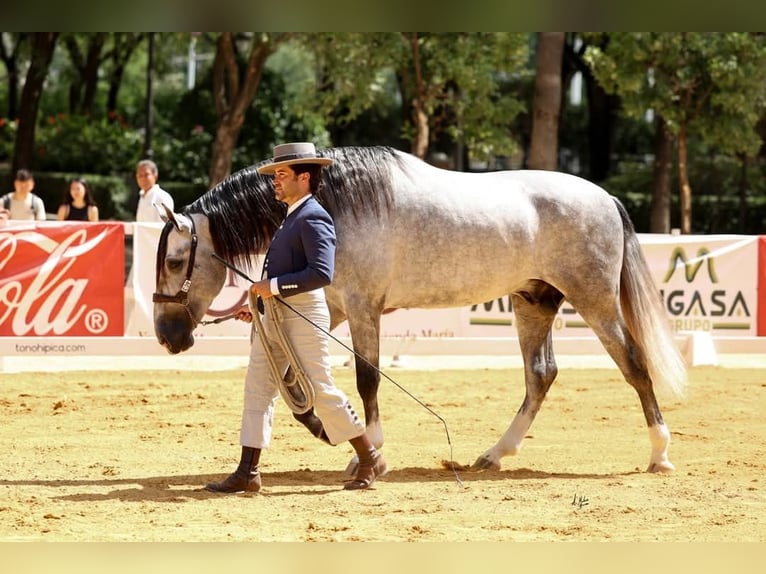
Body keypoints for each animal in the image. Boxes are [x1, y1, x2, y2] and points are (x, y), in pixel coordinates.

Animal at [153, 145, 686, 474]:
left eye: (176, 261)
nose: (166, 335)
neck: (338, 203)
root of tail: (606, 197)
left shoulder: (363, 307)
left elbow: (366, 377)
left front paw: (368, 455)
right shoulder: (331, 305)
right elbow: (289, 370)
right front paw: (323, 426)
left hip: (594, 300)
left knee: (634, 365)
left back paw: (660, 454)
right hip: (533, 302)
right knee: (541, 375)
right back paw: (494, 454)